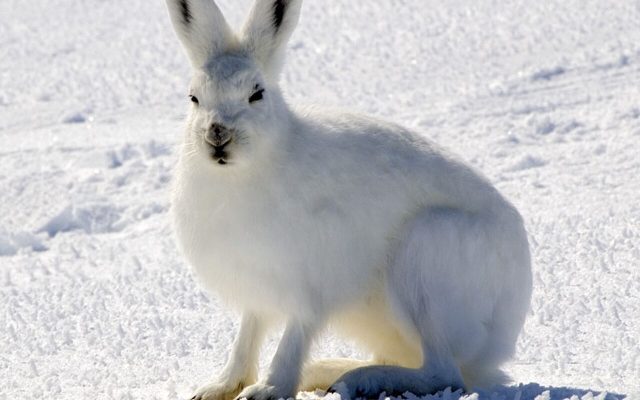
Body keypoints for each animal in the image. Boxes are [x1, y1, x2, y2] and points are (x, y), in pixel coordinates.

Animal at [166, 1, 532, 399]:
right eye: (194, 98)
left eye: (256, 93)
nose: (217, 136)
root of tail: (504, 333)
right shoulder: (258, 288)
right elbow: (247, 336)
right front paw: (219, 387)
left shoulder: (311, 284)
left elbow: (294, 337)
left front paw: (269, 389)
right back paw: (330, 371)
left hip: (425, 259)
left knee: (442, 372)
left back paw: (359, 379)